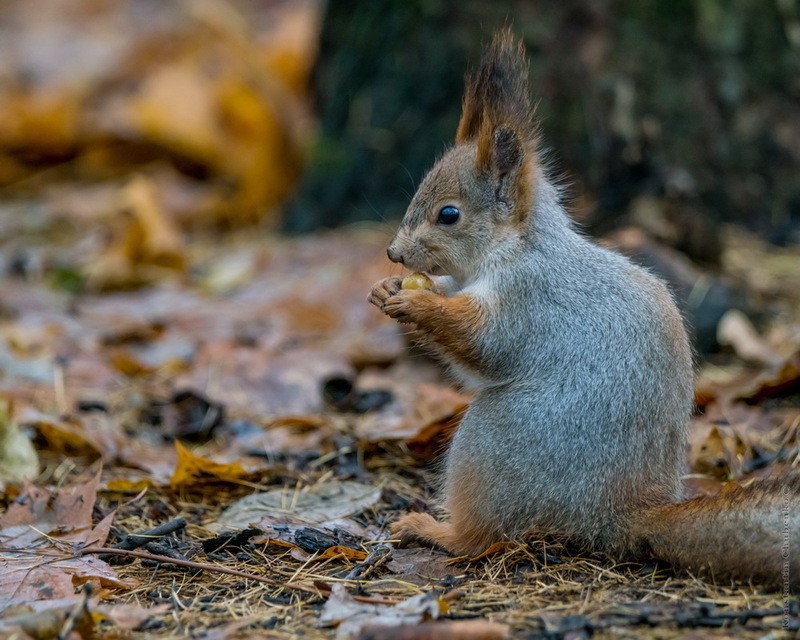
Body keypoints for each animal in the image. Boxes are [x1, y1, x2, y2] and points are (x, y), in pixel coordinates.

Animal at [370, 31, 800, 592]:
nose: (394, 254)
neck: (515, 248)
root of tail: (619, 514)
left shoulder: (530, 299)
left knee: (481, 537)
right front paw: (387, 288)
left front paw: (418, 301)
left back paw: (433, 529)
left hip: (494, 444)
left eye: (449, 215)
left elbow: (483, 344)